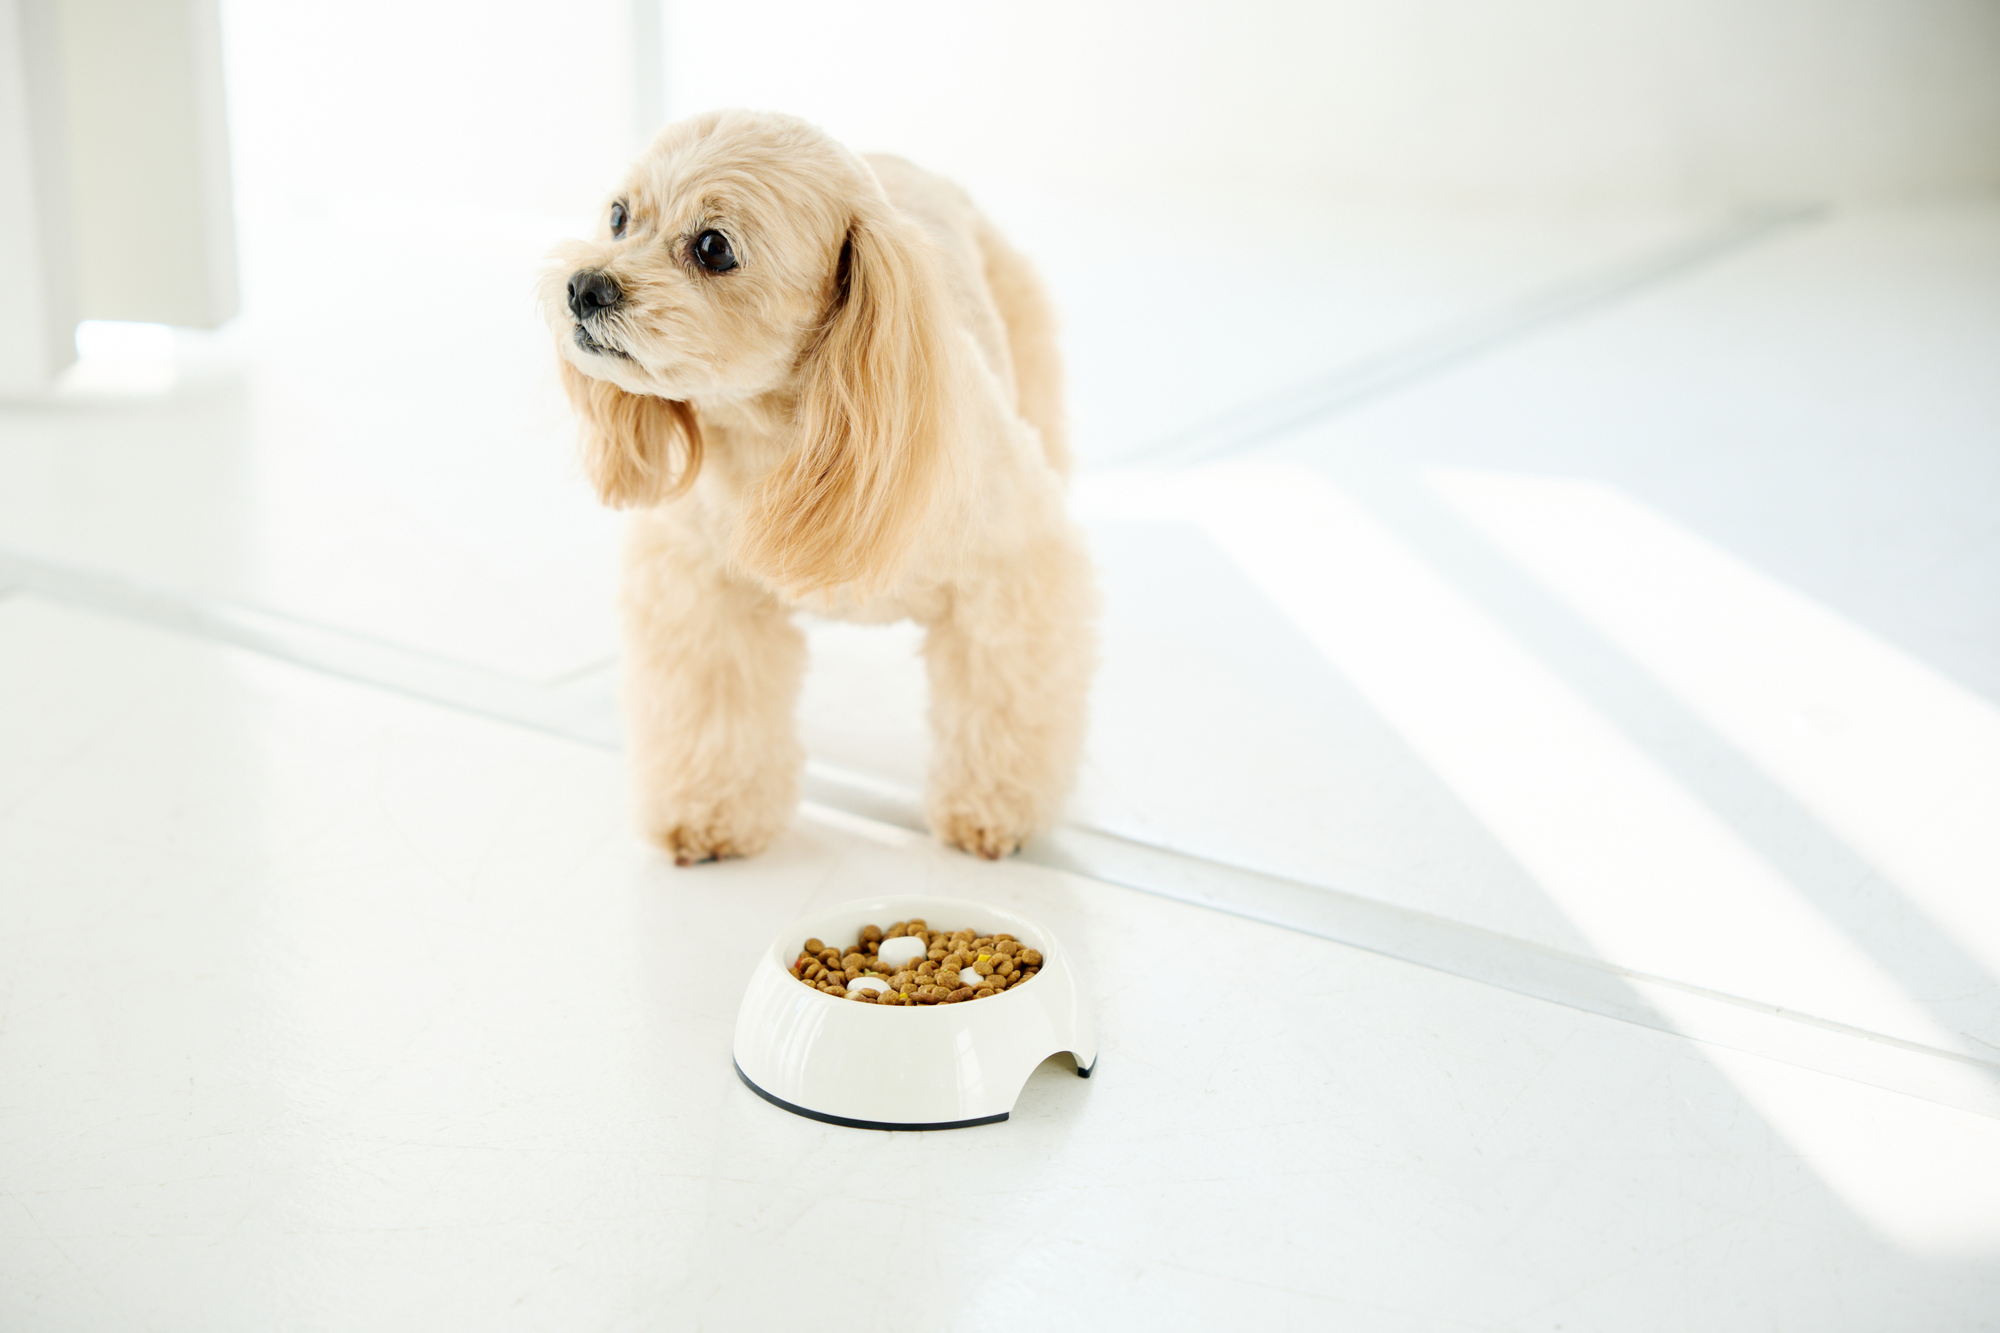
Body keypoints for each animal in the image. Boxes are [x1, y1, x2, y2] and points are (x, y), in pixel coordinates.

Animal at [544, 111, 1096, 860]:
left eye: (714, 247)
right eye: (618, 217)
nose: (584, 286)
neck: (789, 435)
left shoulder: (1012, 577)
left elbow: (1005, 705)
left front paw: (993, 812)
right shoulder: (702, 595)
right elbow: (714, 713)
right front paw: (711, 812)